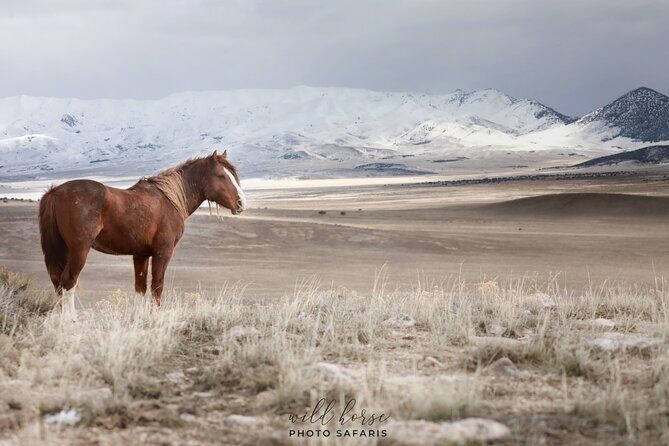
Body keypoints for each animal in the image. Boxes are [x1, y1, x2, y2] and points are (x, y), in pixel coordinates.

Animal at [38, 150, 245, 315]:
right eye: (221, 175)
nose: (241, 203)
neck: (169, 200)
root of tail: (55, 192)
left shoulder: (141, 255)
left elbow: (140, 288)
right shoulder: (162, 253)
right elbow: (157, 287)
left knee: (57, 282)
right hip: (79, 250)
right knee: (68, 282)